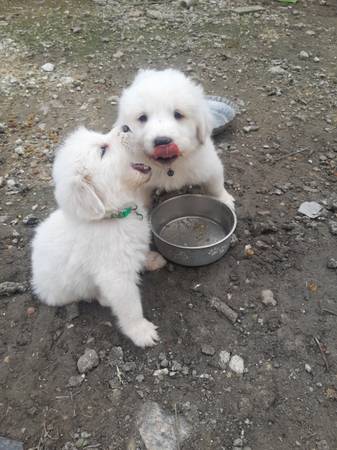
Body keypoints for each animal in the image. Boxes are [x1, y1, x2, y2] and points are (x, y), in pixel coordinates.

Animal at [30, 126, 159, 348]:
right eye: (103, 150)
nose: (125, 127)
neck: (111, 216)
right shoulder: (115, 276)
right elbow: (130, 306)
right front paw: (141, 332)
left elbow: (142, 253)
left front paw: (152, 260)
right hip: (66, 290)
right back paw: (103, 298)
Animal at [115, 69, 234, 210]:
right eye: (142, 118)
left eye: (178, 114)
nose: (162, 141)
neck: (170, 168)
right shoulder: (141, 181)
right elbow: (142, 201)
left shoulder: (209, 165)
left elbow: (215, 186)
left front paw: (226, 200)